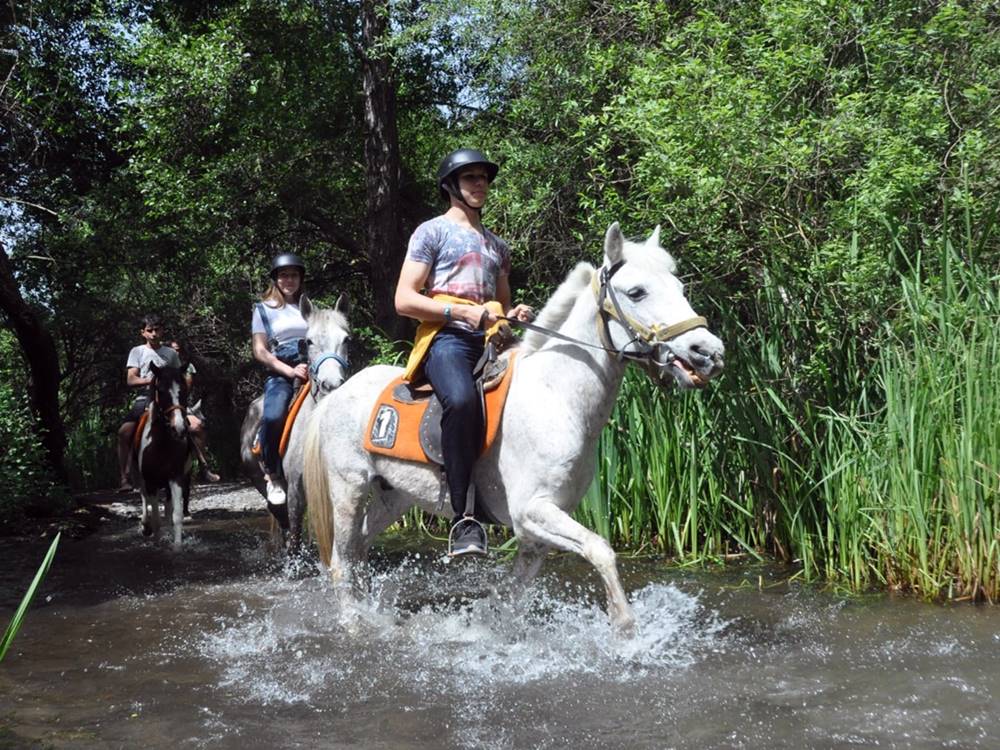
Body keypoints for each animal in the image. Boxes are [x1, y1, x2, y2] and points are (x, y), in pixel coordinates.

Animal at [132, 363, 193, 548]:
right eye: (161, 390)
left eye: (184, 390)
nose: (179, 428)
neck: (161, 444)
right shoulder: (151, 482)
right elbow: (155, 516)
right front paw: (157, 540)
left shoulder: (176, 477)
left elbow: (176, 514)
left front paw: (177, 545)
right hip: (141, 478)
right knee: (144, 497)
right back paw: (146, 527)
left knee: (167, 506)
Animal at [239, 294, 351, 554]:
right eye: (308, 341)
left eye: (346, 339)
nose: (331, 384)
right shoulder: (297, 490)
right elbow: (295, 533)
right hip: (260, 478)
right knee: (280, 515)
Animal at [302, 223, 725, 633]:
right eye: (637, 292)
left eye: (679, 287)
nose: (709, 353)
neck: (557, 397)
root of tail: (338, 392)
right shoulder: (532, 512)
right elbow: (601, 550)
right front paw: (625, 631)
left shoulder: (537, 532)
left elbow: (512, 595)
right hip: (349, 488)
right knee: (341, 560)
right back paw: (353, 624)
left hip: (395, 496)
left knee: (359, 549)